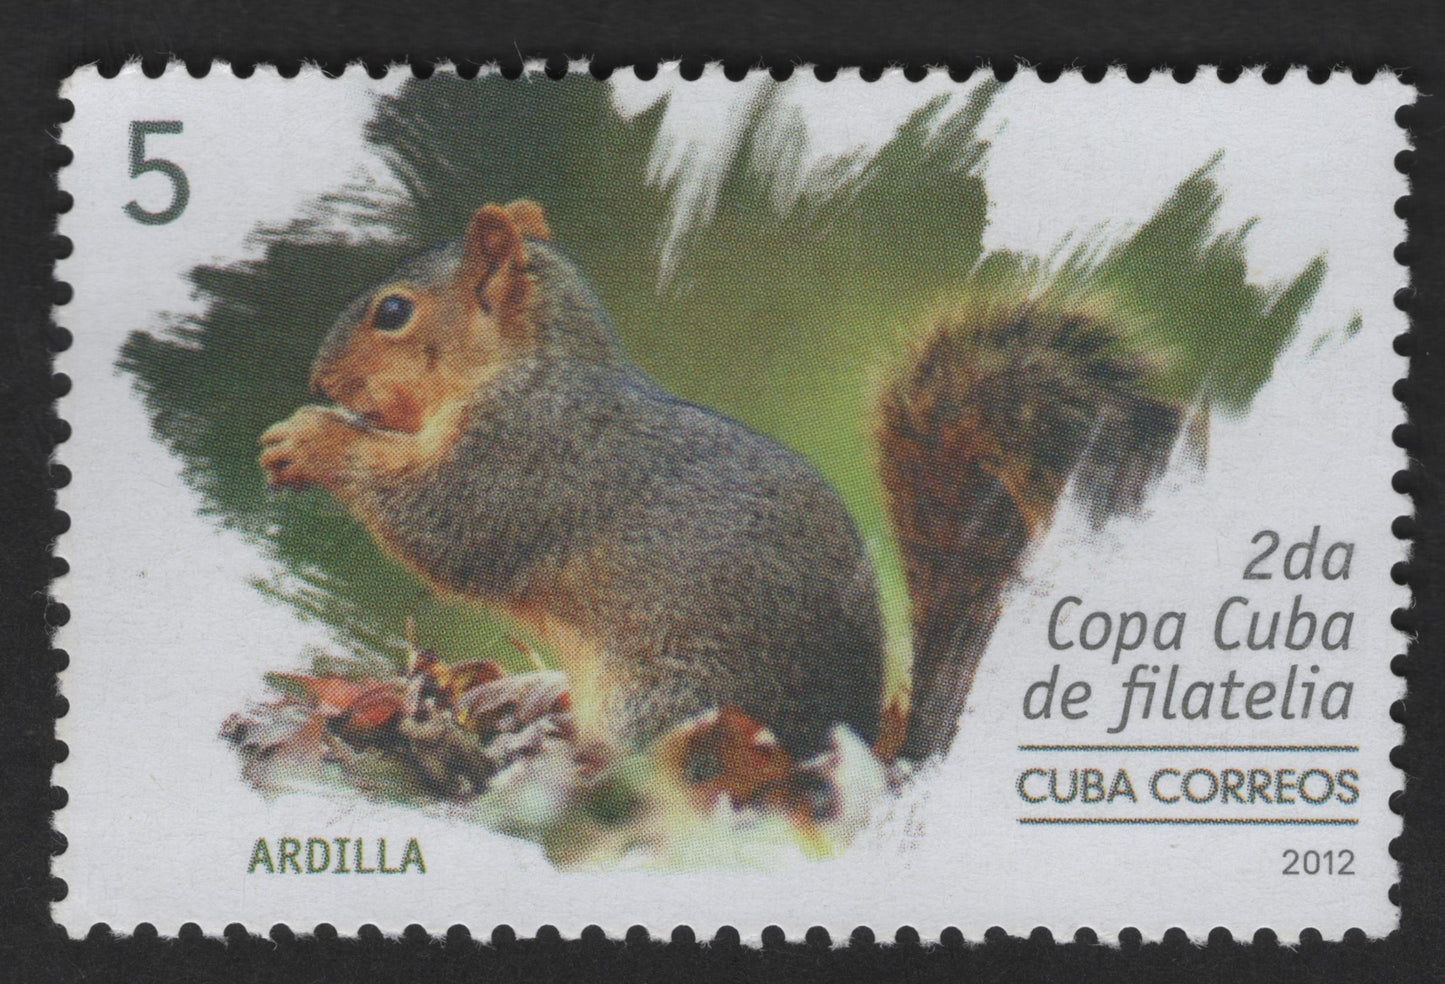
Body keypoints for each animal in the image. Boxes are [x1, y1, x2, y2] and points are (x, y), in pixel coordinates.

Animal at [260, 200, 1185, 764]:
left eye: (392, 312)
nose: (318, 376)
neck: (526, 366)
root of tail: (844, 737)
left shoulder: (526, 454)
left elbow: (445, 526)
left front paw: (310, 439)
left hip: (668, 700)